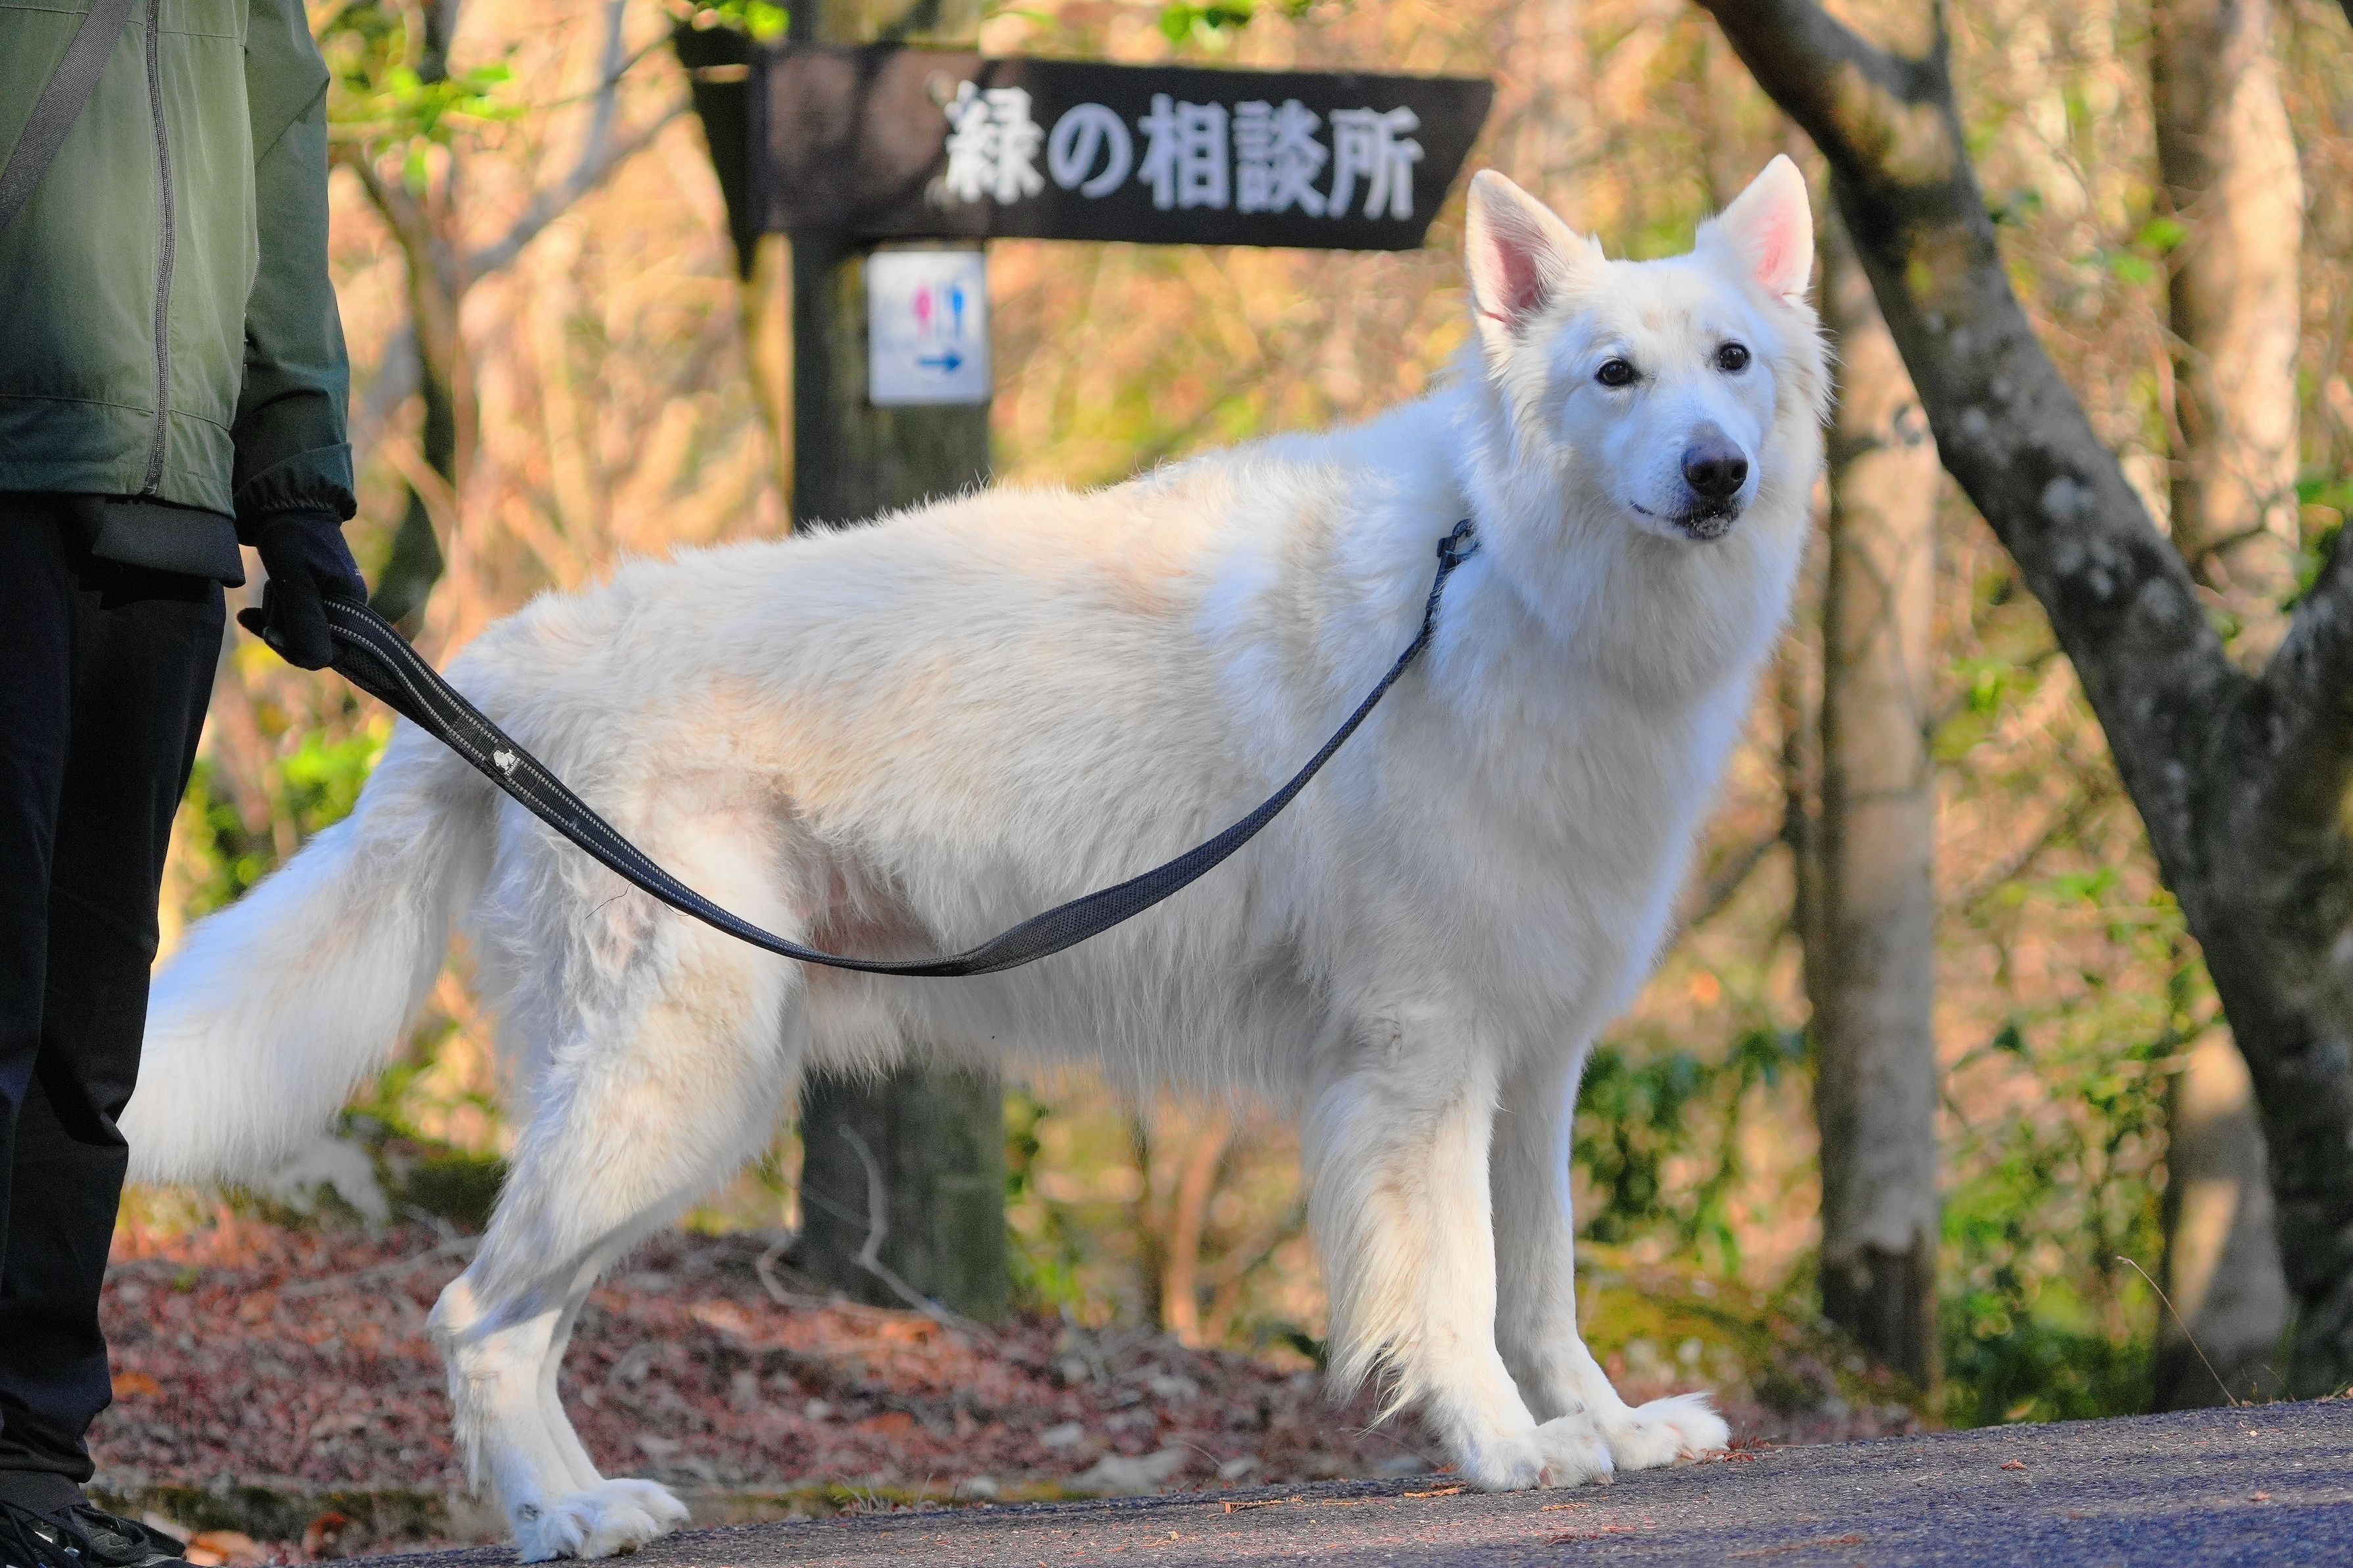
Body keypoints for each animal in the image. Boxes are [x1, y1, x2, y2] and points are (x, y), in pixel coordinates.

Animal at [124, 157, 1827, 1560]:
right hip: (678, 1080)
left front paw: (1607, 1426)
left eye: (1732, 364)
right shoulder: (1417, 1063)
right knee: (475, 1312)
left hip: (664, 1092)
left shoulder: (1531, 1059)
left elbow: (1543, 1280)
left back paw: (578, 1501)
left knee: (521, 1318)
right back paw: (560, 1519)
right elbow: (1458, 1285)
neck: (1496, 572)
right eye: (1614, 375)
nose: (1717, 472)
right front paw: (1503, 1449)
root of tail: (498, 669)